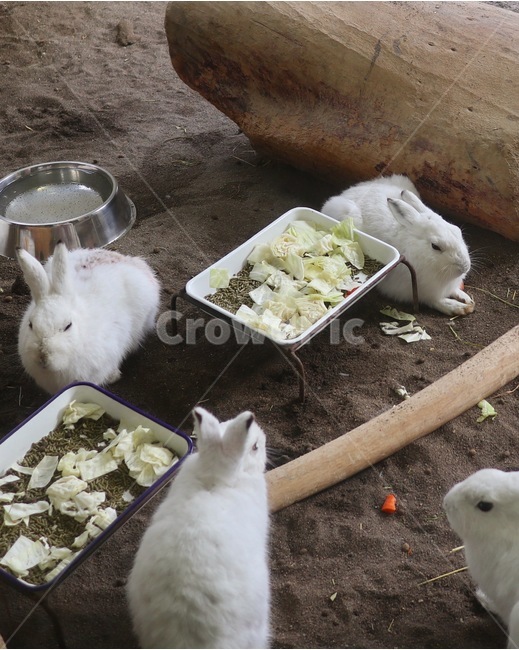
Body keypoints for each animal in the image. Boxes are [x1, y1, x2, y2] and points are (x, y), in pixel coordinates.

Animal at [321, 174, 475, 316]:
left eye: (458, 230)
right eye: (435, 246)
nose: (464, 267)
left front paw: (466, 298)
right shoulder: (418, 291)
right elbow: (435, 301)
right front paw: (459, 307)